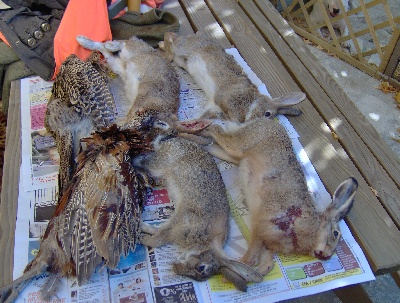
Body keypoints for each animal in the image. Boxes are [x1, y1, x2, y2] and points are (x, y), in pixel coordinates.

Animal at [135, 119, 262, 292]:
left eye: (200, 273)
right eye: (201, 268)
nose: (175, 268)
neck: (207, 242)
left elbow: (159, 230)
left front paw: (142, 230)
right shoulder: (184, 218)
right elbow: (160, 238)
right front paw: (143, 239)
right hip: (158, 164)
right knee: (142, 160)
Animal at [158, 32, 304, 123]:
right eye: (267, 114)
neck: (251, 102)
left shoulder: (213, 107)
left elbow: (201, 116)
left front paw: (185, 122)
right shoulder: (224, 100)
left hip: (182, 60)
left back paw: (161, 45)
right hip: (184, 47)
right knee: (171, 35)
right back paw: (164, 52)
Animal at [198, 119, 358, 276]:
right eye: (335, 233)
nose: (327, 256)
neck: (310, 225)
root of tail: (268, 121)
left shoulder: (268, 242)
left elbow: (267, 261)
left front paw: (258, 271)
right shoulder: (262, 226)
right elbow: (252, 253)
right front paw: (242, 265)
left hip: (237, 156)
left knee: (215, 144)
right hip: (239, 144)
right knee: (216, 129)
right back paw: (198, 127)